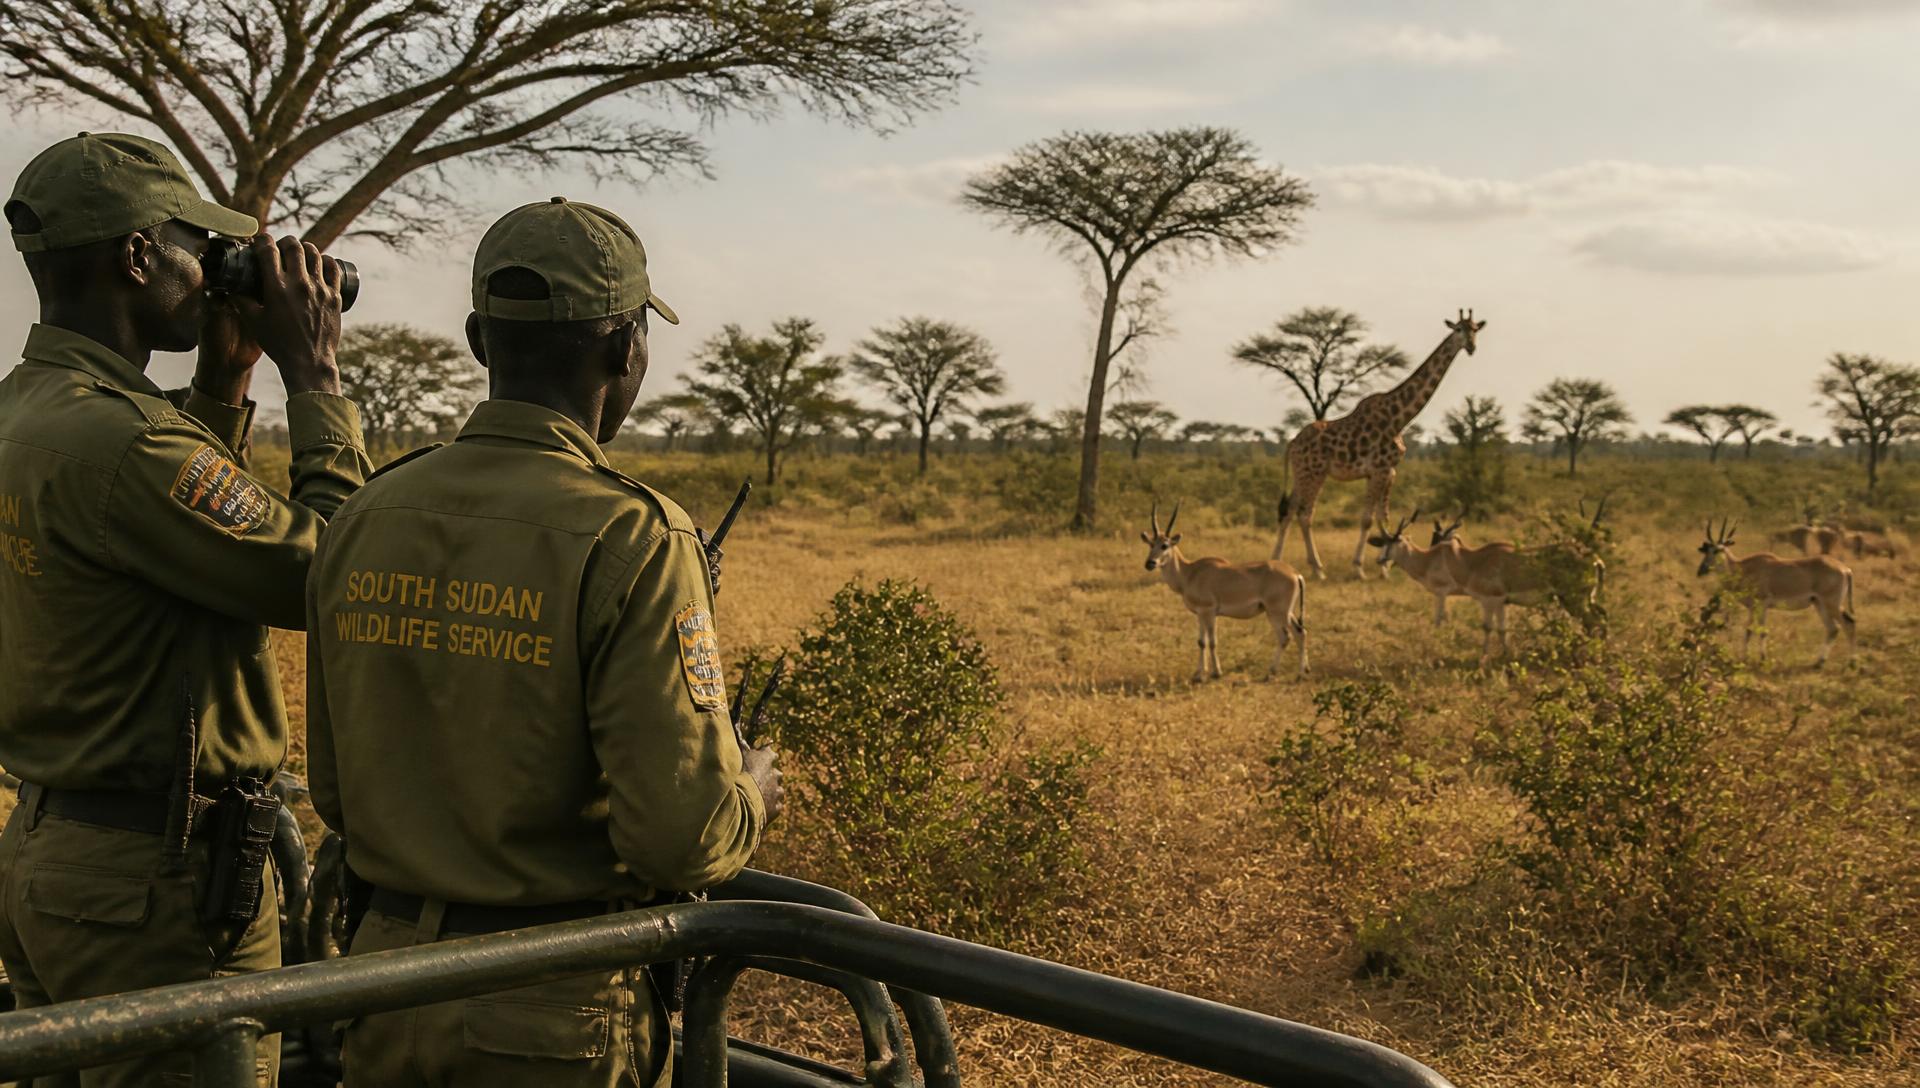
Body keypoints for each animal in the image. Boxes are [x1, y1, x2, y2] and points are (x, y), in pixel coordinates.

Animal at [1141, 502, 1308, 681]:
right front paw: (1198, 674)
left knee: (1289, 635)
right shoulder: (1200, 613)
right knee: (1299, 633)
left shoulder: (1208, 611)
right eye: (1151, 544)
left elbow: (1212, 641)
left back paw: (1281, 673)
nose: (1150, 563)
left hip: (1277, 612)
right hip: (1284, 612)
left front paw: (1216, 673)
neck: (1190, 572)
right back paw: (1297, 672)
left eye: (1164, 545)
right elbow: (1201, 642)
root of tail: (1295, 573)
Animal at [1272, 309, 1486, 578]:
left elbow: (1384, 517)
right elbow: (1368, 519)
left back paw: (1277, 560)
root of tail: (1292, 443)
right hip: (1314, 473)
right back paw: (1318, 570)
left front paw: (1385, 567)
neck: (1399, 418)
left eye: (1475, 329)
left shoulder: (1390, 471)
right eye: (1458, 329)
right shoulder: (1379, 469)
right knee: (1305, 513)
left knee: (1289, 511)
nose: (1471, 346)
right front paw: (1360, 569)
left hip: (1302, 473)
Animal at [1697, 519, 1855, 666]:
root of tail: (1845, 569)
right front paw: (1744, 658)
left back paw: (1851, 663)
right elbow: (1748, 630)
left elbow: (1762, 631)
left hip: (1831, 605)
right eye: (1706, 550)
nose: (1701, 570)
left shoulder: (1762, 605)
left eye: (1718, 550)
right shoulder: (1752, 608)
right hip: (1819, 605)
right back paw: (1819, 662)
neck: (1745, 568)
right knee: (1833, 629)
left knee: (1847, 624)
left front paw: (1763, 659)